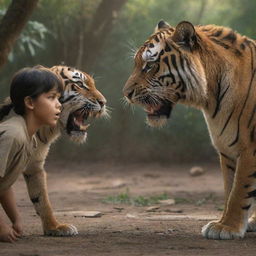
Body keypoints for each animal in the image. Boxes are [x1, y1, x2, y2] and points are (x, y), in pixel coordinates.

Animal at [5, 65, 107, 236]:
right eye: (80, 84)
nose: (104, 102)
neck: (43, 129)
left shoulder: (35, 166)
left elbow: (42, 199)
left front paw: (54, 227)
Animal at [123, 20, 256, 240]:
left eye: (149, 65)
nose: (126, 94)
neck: (211, 99)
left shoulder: (248, 150)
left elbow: (239, 190)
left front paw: (227, 227)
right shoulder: (227, 150)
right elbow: (230, 189)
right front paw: (224, 223)